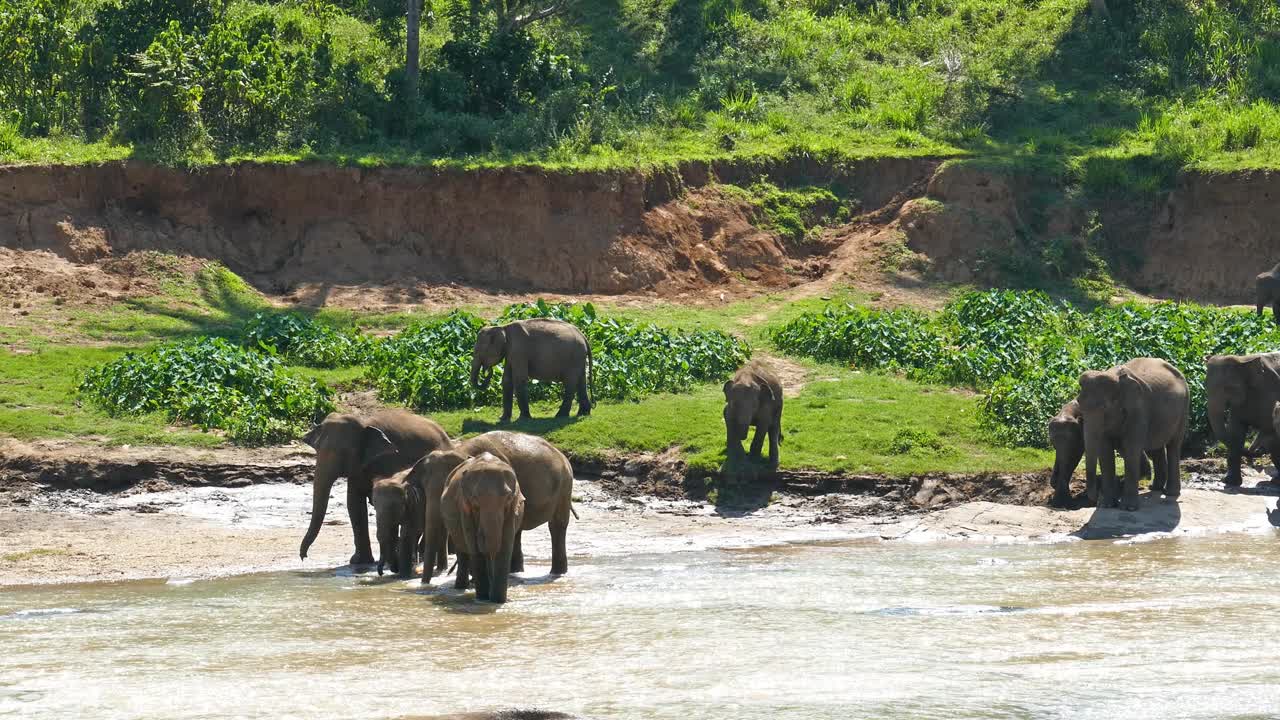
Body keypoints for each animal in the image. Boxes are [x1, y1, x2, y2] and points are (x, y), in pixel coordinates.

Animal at [298, 407, 450, 563]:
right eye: (317, 450)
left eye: (345, 452)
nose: (304, 557)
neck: (364, 421)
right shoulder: (359, 466)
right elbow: (354, 503)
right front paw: (359, 561)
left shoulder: (391, 459)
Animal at [419, 427, 576, 579]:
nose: (425, 584)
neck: (462, 449)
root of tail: (563, 455)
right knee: (517, 532)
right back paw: (515, 572)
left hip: (565, 486)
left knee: (557, 526)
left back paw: (557, 573)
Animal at [437, 453, 522, 599]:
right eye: (475, 499)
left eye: (508, 498)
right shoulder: (464, 506)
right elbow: (474, 546)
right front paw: (482, 598)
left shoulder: (512, 509)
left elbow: (505, 545)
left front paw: (498, 601)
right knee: (462, 551)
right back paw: (462, 587)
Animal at [1080, 356, 1187, 509]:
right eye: (1079, 405)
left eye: (1105, 408)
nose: (1094, 500)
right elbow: (1105, 451)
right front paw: (1107, 505)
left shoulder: (1138, 409)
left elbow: (1131, 448)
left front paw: (1128, 508)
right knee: (1156, 448)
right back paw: (1155, 488)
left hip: (1184, 408)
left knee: (1173, 445)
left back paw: (1171, 493)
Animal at [1203, 351, 1280, 484]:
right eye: (1206, 385)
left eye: (1230, 387)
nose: (1256, 451)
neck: (1243, 359)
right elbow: (1235, 431)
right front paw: (1230, 482)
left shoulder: (1270, 391)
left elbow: (1270, 431)